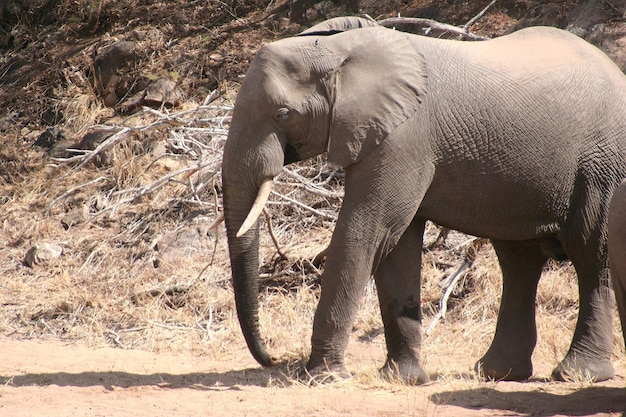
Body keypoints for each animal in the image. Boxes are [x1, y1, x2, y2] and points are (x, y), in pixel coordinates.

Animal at [219, 17, 624, 384]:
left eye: (282, 114)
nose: (271, 358)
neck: (342, 49)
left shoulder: (404, 136)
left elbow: (369, 229)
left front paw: (324, 377)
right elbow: (397, 244)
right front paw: (405, 378)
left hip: (602, 164)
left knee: (591, 253)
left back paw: (577, 375)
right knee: (519, 261)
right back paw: (498, 373)